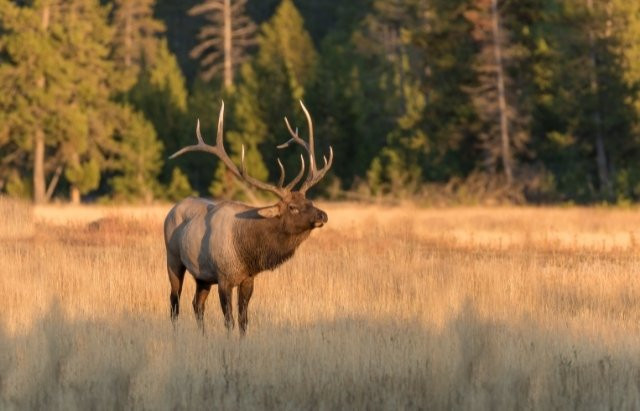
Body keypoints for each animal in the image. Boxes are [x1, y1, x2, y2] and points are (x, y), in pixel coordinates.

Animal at [163, 101, 333, 334]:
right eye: (292, 207)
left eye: (310, 201)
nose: (323, 215)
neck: (246, 251)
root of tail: (171, 210)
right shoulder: (224, 278)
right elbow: (229, 321)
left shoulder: (248, 279)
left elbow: (244, 320)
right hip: (173, 258)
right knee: (174, 303)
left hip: (202, 276)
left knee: (197, 305)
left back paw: (203, 335)